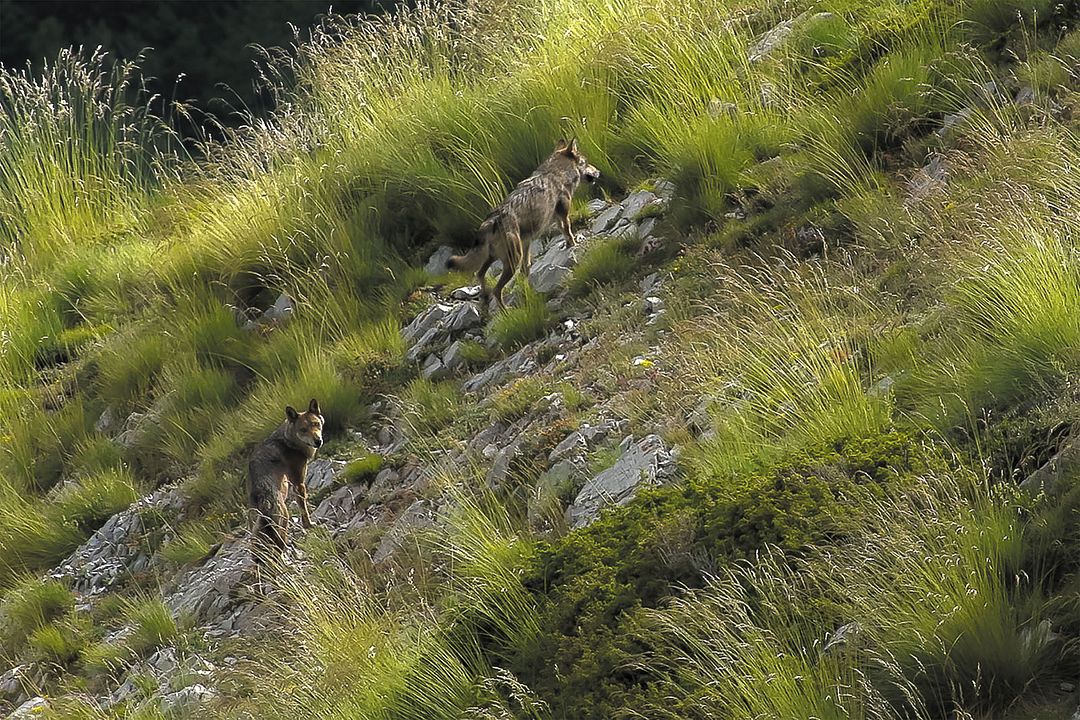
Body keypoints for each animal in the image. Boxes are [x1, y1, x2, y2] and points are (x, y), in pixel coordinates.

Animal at [247, 399, 321, 574]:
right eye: (303, 430)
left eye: (316, 424)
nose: (318, 441)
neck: (288, 441)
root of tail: (262, 500)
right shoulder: (298, 483)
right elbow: (304, 510)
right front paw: (309, 525)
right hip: (283, 525)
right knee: (277, 556)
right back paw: (288, 567)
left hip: (257, 536)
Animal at [447, 139, 600, 310]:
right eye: (585, 162)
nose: (598, 171)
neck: (555, 173)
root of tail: (490, 222)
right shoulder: (563, 214)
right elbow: (568, 231)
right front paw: (573, 245)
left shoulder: (530, 240)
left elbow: (527, 267)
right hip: (512, 262)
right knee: (496, 290)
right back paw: (505, 311)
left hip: (495, 258)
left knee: (480, 274)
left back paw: (485, 298)